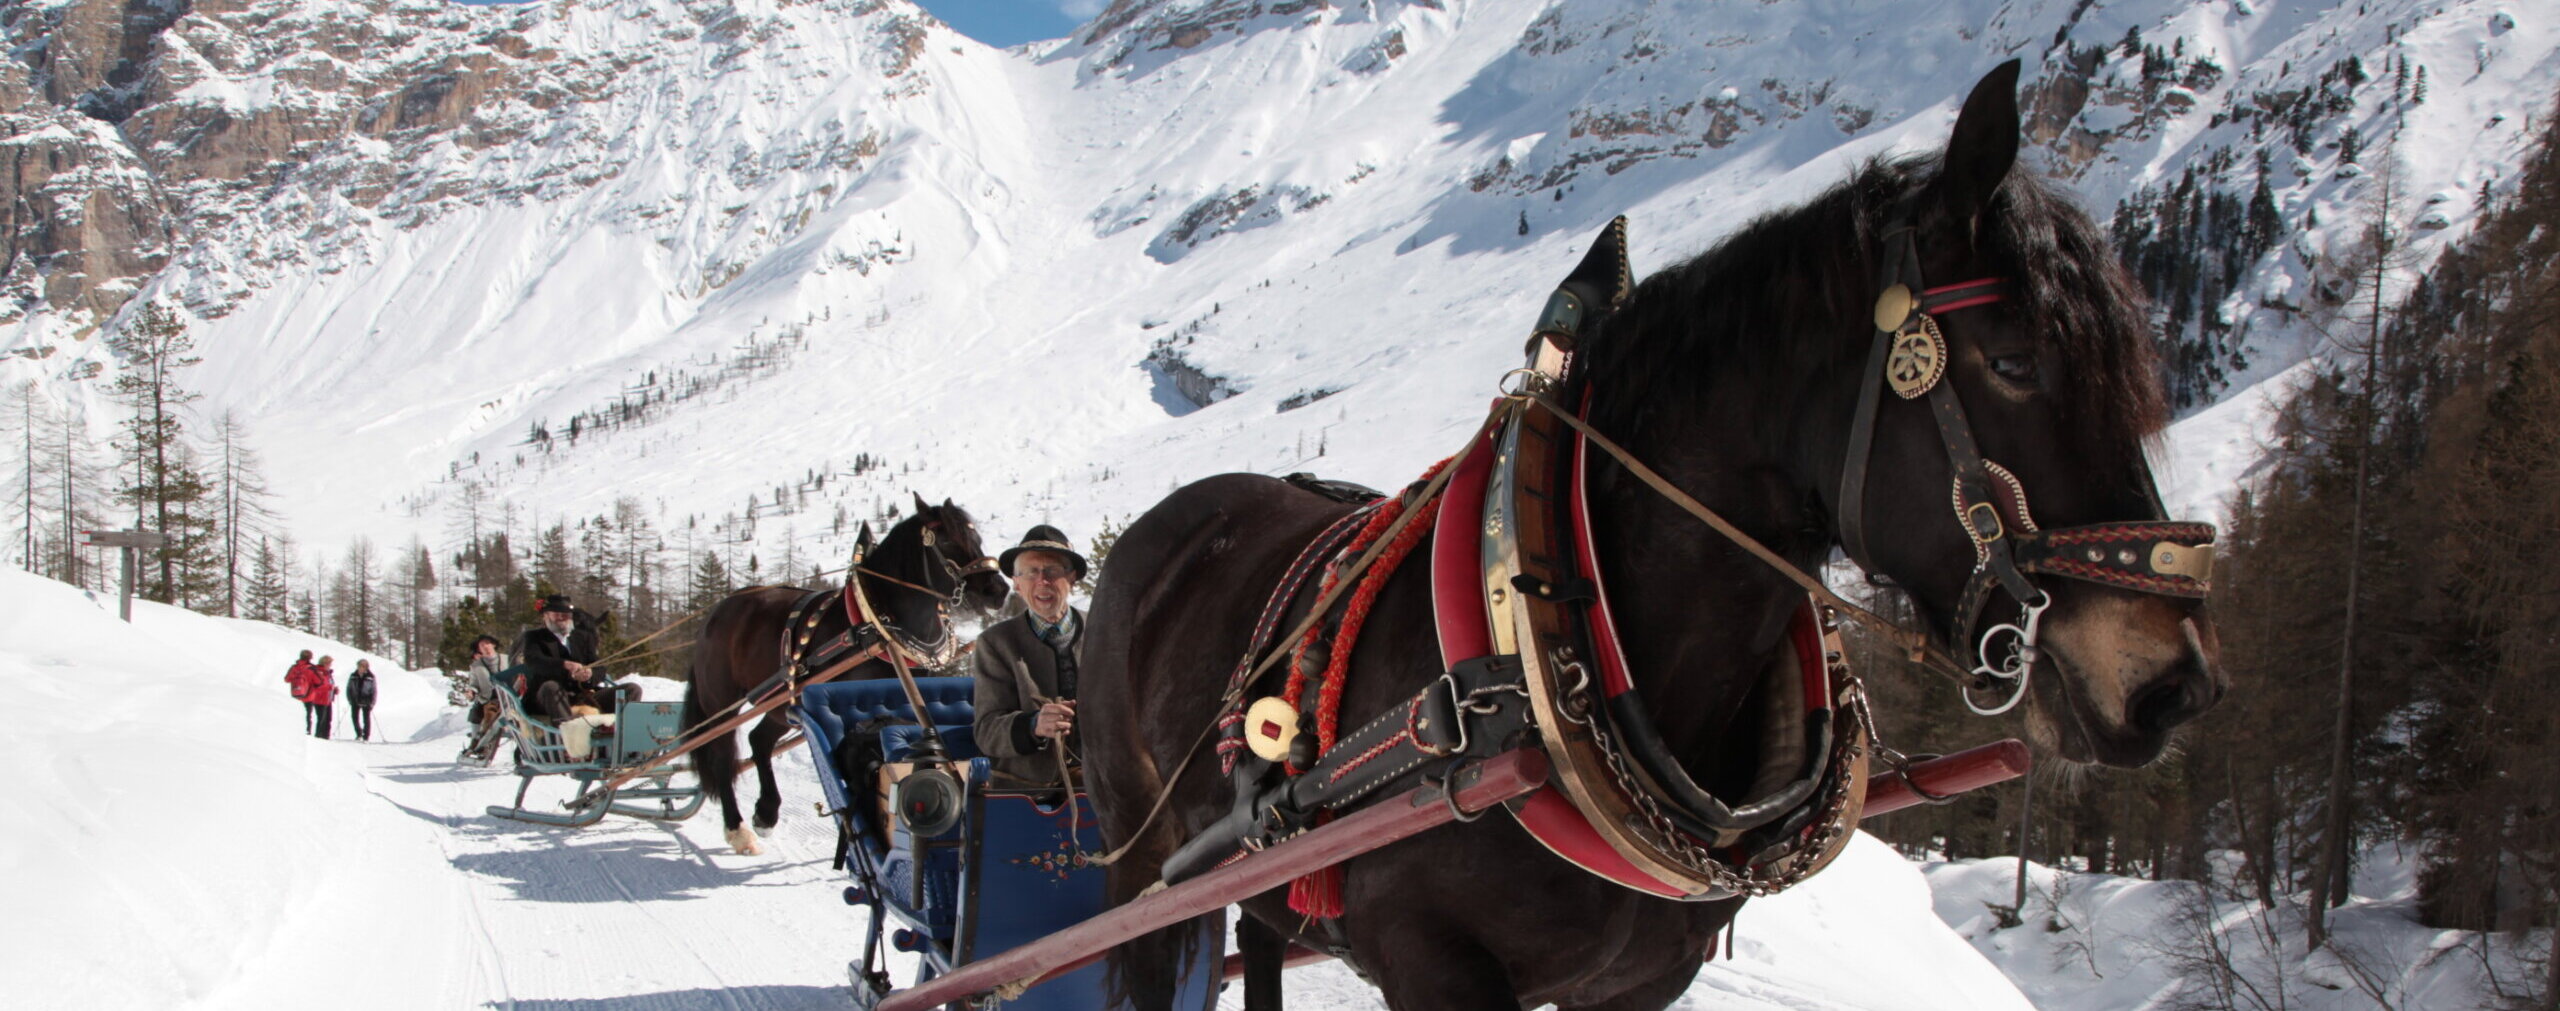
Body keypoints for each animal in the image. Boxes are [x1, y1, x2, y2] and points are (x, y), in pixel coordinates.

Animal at [683, 494, 1009, 855]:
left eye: (976, 537)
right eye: (948, 540)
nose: (997, 590)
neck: (874, 625)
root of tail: (718, 610)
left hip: (782, 704)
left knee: (759, 740)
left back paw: (766, 813)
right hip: (720, 702)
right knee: (721, 756)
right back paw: (738, 829)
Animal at [1082, 61, 2224, 1010]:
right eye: (2017, 361)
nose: (2173, 685)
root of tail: (1169, 525)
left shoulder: (1641, 980)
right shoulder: (1431, 961)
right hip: (1137, 862)